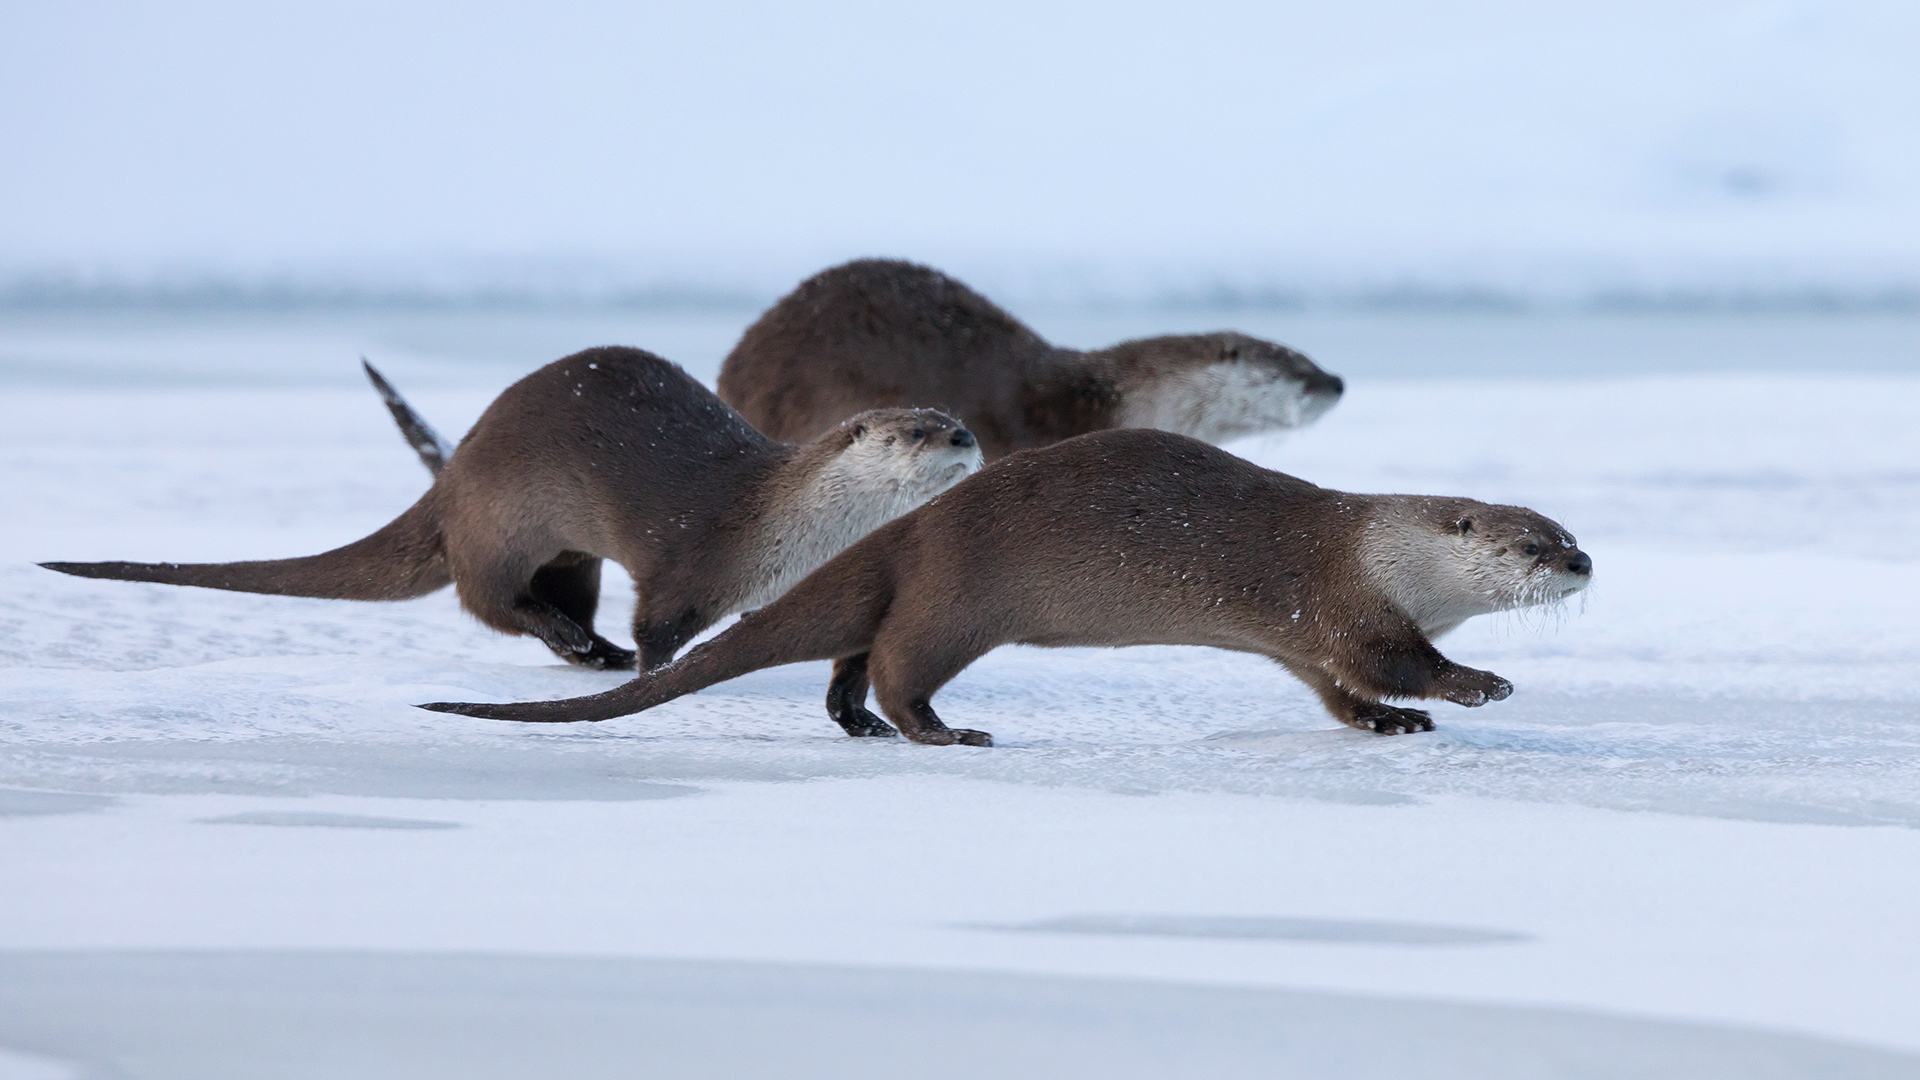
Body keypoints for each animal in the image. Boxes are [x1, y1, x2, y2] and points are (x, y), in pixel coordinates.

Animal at [43, 347, 982, 671]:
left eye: (951, 418)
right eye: (916, 430)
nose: (968, 433)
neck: (794, 526)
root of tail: (454, 473)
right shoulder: (692, 564)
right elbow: (660, 630)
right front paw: (651, 678)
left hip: (570, 554)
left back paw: (587, 646)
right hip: (503, 521)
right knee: (487, 599)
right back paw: (581, 645)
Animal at [422, 429, 1592, 741]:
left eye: (1571, 532)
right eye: (1532, 546)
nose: (1585, 563)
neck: (1378, 551)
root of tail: (911, 525)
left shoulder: (1309, 640)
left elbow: (1343, 692)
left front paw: (1392, 727)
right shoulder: (1343, 605)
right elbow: (1396, 662)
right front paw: (1479, 685)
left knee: (854, 653)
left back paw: (860, 725)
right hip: (961, 598)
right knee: (901, 660)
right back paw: (942, 732)